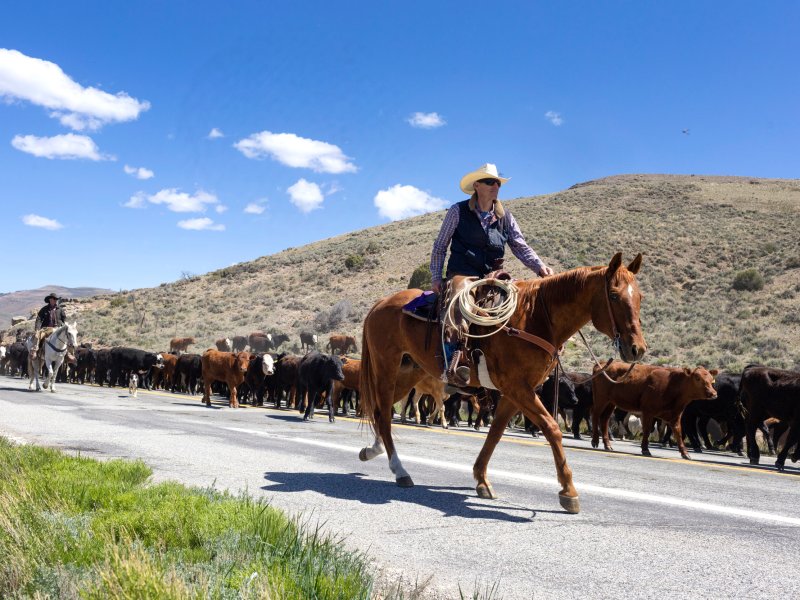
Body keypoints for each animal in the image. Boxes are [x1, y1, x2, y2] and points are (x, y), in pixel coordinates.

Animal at [360, 253, 648, 516]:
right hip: (386, 368)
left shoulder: (515, 392)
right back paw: (400, 470)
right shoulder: (518, 388)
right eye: (613, 295)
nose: (637, 349)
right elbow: (552, 428)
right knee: (383, 413)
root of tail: (379, 304)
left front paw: (481, 479)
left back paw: (372, 450)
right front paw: (568, 491)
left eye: (640, 297)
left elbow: (496, 433)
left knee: (381, 411)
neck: (536, 317)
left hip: (408, 373)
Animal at [588, 360, 720, 460]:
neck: (673, 385)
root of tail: (602, 363)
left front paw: (685, 453)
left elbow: (678, 432)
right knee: (595, 415)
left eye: (711, 379)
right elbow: (646, 430)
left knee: (604, 420)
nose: (713, 393)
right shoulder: (648, 411)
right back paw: (595, 440)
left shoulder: (675, 415)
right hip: (601, 398)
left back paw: (608, 445)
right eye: (697, 378)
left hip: (611, 403)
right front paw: (645, 449)